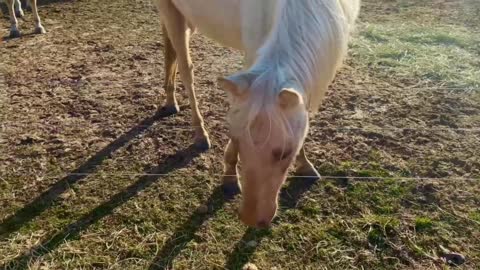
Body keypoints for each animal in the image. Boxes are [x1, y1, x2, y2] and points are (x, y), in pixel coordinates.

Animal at [152, 0, 358, 228]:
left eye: (285, 153)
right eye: (238, 141)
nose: (252, 219)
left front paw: (305, 165)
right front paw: (230, 178)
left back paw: (170, 101)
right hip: (169, 9)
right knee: (185, 69)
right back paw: (199, 133)